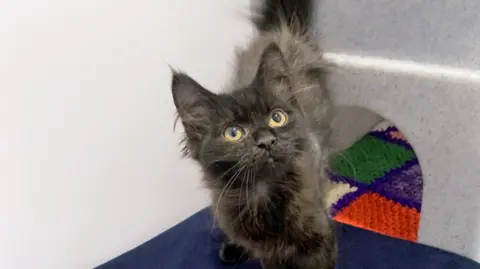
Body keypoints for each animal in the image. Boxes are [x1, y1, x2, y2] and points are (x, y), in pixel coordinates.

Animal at [171, 0, 336, 268]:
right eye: (233, 133)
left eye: (277, 118)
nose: (267, 141)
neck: (262, 193)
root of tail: (279, 30)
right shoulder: (268, 252)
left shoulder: (319, 236)